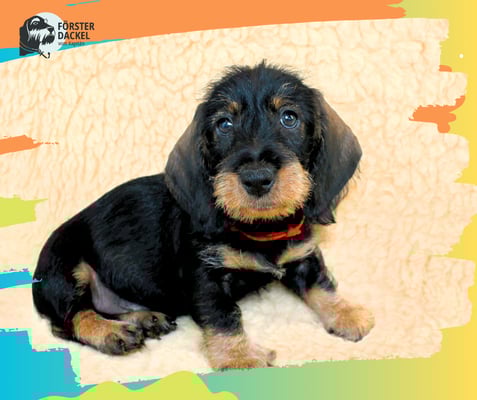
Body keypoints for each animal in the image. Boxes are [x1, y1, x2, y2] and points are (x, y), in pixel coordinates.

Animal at [32, 63, 374, 369]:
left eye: (289, 118)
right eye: (224, 124)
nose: (257, 178)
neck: (259, 228)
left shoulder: (303, 255)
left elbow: (322, 285)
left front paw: (348, 314)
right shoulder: (205, 277)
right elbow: (224, 316)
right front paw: (239, 357)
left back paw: (145, 319)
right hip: (65, 268)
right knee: (69, 319)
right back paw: (110, 333)